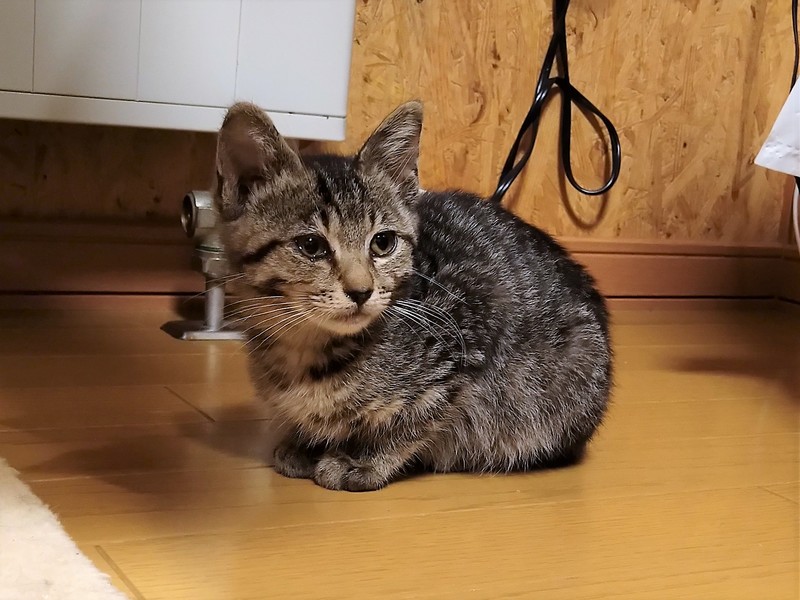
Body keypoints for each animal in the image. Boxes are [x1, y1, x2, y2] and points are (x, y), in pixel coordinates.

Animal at [213, 100, 612, 491]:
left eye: (383, 242)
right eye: (311, 246)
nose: (361, 291)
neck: (306, 345)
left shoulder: (469, 332)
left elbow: (415, 419)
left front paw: (365, 458)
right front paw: (305, 441)